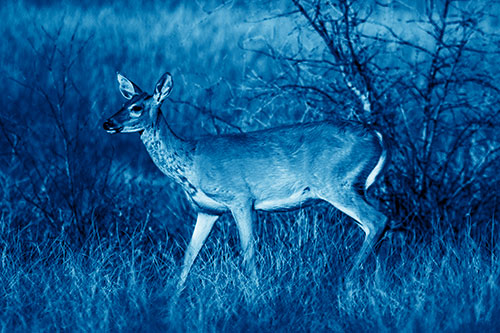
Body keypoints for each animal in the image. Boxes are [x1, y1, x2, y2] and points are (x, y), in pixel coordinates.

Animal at [103, 70, 388, 288]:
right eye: (122, 103)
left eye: (136, 108)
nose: (107, 123)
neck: (189, 162)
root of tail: (378, 136)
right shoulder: (207, 210)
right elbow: (188, 256)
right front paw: (171, 298)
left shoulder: (241, 198)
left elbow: (247, 252)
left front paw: (253, 294)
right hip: (351, 187)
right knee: (374, 227)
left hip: (338, 183)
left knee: (378, 220)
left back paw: (346, 281)